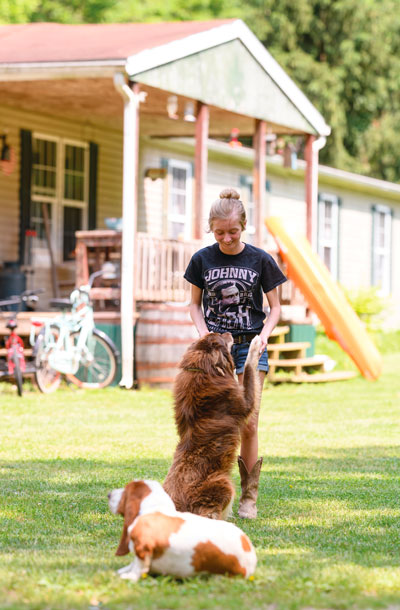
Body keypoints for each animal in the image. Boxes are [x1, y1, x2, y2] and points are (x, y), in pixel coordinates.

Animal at [108, 476, 256, 580]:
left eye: (125, 490)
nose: (109, 494)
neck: (156, 508)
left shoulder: (142, 549)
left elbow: (139, 566)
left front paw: (128, 576)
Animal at [163, 332, 262, 516]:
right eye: (220, 337)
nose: (229, 332)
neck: (203, 370)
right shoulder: (246, 403)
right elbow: (249, 370)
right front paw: (255, 345)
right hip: (224, 483)